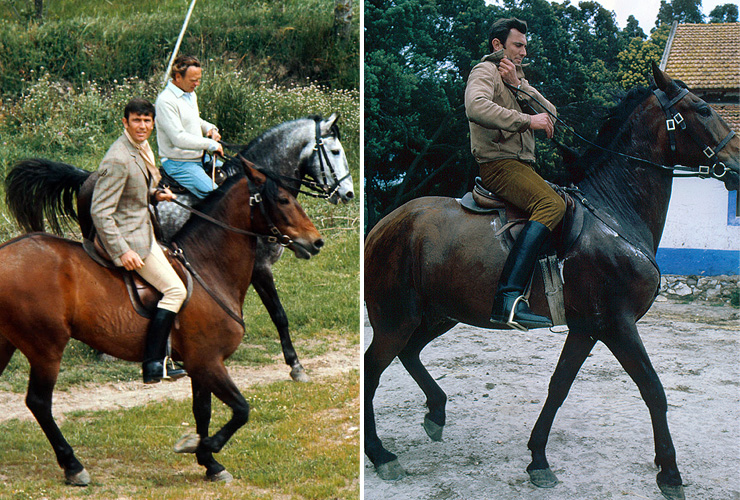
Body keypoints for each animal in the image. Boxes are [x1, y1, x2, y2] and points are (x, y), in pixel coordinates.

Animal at [0, 159, 324, 484]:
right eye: (283, 200)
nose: (316, 241)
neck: (207, 267)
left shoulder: (200, 363)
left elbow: (203, 411)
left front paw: (209, 463)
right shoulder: (208, 361)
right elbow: (241, 409)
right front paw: (203, 446)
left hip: (8, 344)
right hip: (46, 350)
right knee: (39, 403)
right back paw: (73, 465)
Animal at [5, 114, 352, 382]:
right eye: (335, 151)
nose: (347, 193)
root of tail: (89, 177)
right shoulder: (259, 269)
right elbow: (279, 315)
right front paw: (295, 365)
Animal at [364, 63, 740, 500]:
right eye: (702, 109)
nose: (737, 163)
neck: (614, 213)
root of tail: (386, 224)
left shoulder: (587, 328)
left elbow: (558, 387)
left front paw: (538, 459)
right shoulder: (618, 325)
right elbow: (653, 391)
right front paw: (670, 473)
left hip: (439, 315)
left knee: (409, 354)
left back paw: (436, 413)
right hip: (396, 319)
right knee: (373, 370)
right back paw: (381, 454)